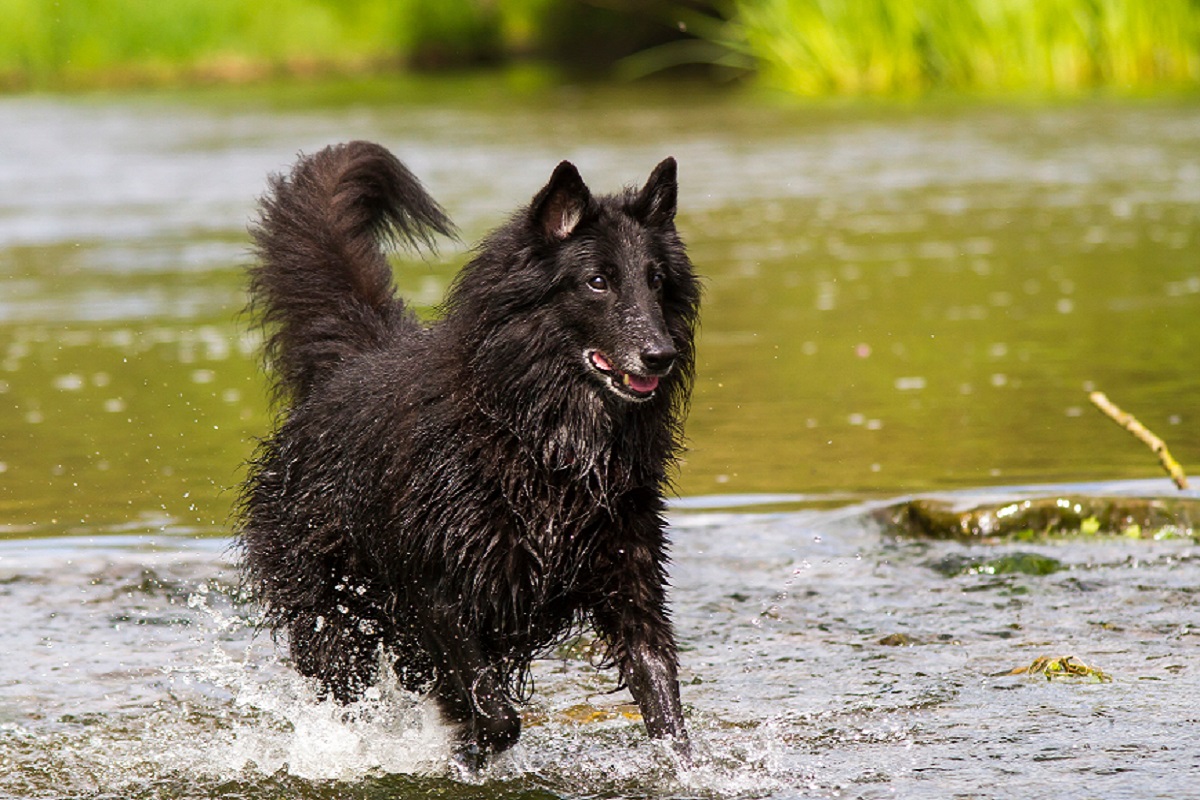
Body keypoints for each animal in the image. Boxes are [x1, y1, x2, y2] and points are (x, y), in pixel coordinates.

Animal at [235, 140, 700, 767]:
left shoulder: (630, 585)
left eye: (656, 282)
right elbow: (496, 714)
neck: (539, 437)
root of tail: (354, 362)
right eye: (599, 281)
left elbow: (665, 702)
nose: (660, 354)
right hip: (334, 618)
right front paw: (470, 746)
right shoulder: (436, 593)